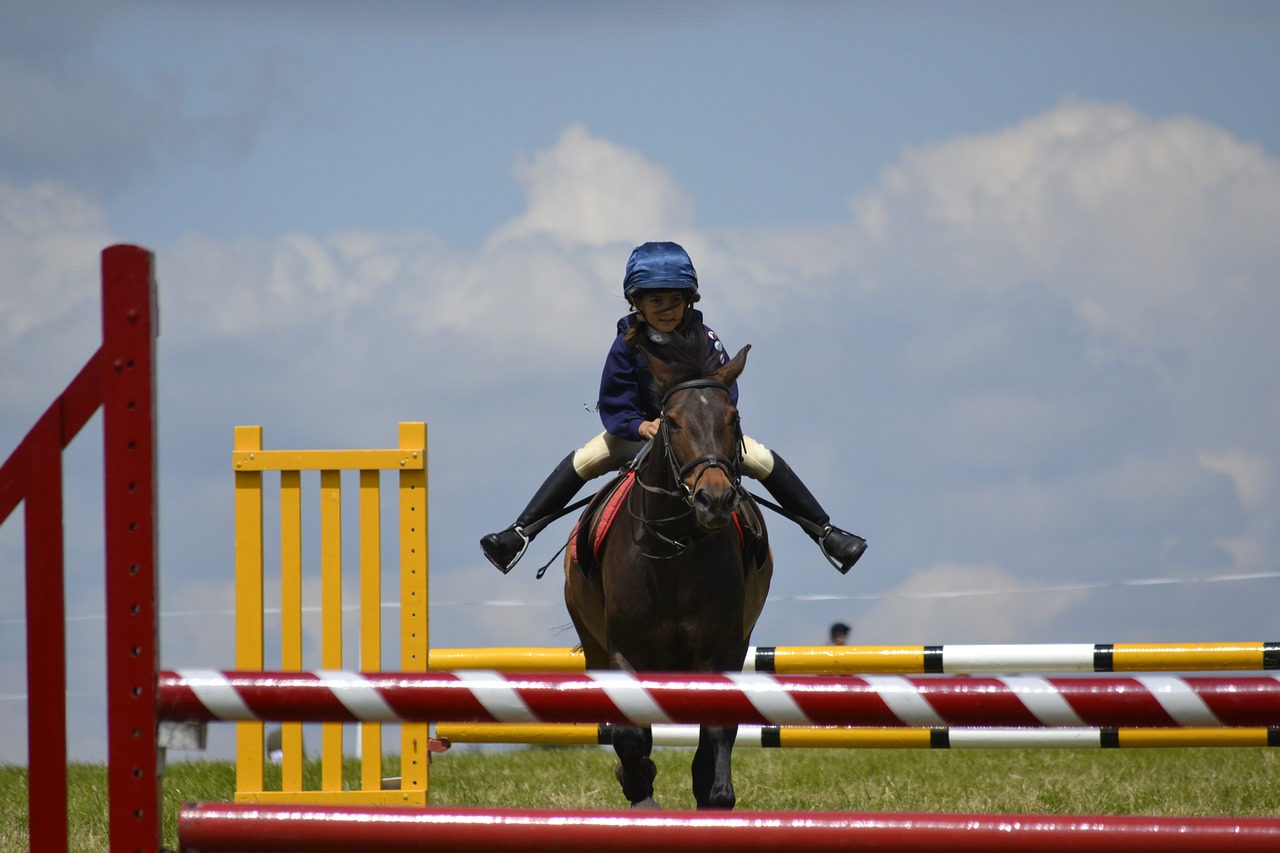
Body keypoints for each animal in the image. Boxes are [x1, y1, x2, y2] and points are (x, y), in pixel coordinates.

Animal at [563, 327, 768, 809]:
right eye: (671, 421)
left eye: (733, 417)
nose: (714, 499)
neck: (675, 552)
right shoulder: (622, 650)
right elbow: (629, 734)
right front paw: (641, 792)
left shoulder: (721, 650)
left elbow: (718, 730)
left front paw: (717, 796)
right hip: (594, 644)